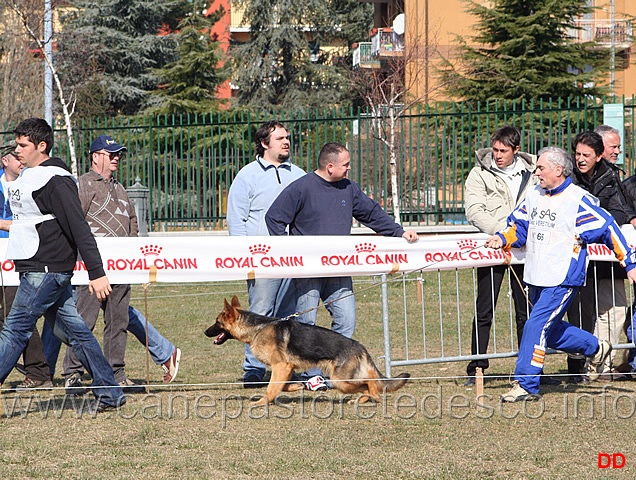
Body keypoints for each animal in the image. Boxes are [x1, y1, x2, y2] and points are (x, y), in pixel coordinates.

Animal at [206, 296, 410, 404]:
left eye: (217, 322)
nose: (205, 332)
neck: (257, 328)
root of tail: (359, 346)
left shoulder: (281, 366)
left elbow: (271, 388)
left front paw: (262, 402)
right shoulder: (286, 368)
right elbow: (282, 385)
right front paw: (297, 386)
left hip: (340, 380)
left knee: (371, 381)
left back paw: (371, 394)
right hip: (342, 380)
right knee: (368, 384)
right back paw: (361, 399)